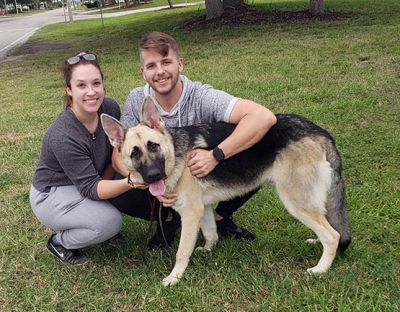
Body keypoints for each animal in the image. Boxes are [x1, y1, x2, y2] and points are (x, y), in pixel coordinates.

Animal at [101, 96, 352, 286]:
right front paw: (209, 249)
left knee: (333, 236)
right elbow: (211, 232)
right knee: (330, 228)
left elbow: (182, 251)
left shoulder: (191, 213)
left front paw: (174, 277)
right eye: (134, 153)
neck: (175, 154)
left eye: (153, 146)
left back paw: (320, 269)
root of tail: (320, 131)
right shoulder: (203, 209)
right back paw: (317, 243)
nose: (154, 176)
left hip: (295, 201)